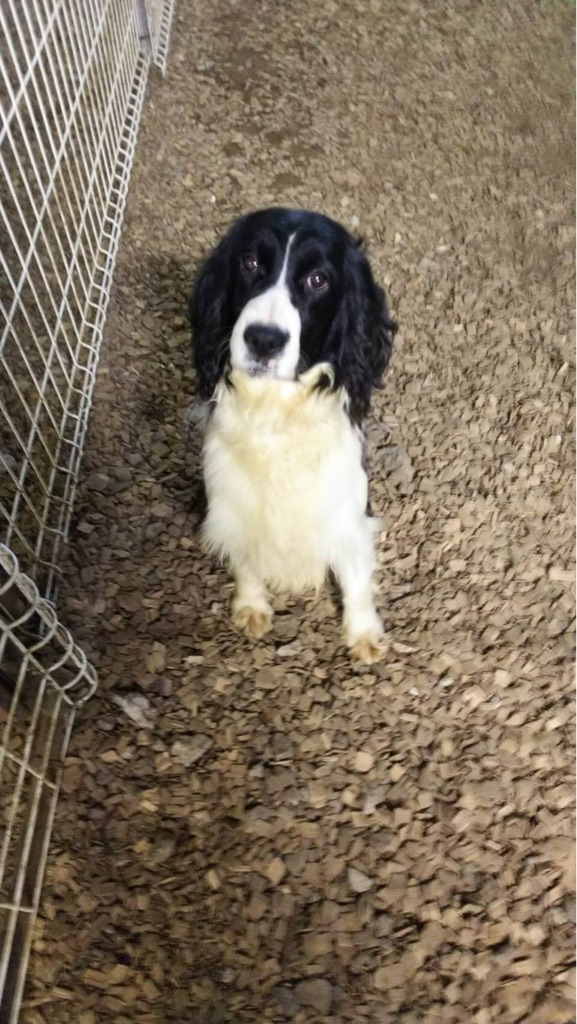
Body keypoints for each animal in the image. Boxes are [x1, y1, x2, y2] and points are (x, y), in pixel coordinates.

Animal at [189, 207, 397, 662]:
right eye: (249, 263)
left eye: (318, 279)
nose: (263, 340)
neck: (276, 410)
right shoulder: (232, 502)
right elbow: (247, 557)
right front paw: (251, 606)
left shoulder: (347, 506)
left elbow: (355, 572)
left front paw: (363, 633)